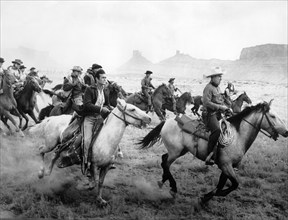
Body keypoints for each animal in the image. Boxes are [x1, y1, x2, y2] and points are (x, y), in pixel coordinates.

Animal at [138, 100, 286, 205]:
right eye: (272, 116)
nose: (286, 131)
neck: (237, 136)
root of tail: (166, 121)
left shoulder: (227, 167)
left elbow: (222, 185)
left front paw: (206, 198)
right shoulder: (226, 165)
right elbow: (234, 185)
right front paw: (205, 197)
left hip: (180, 151)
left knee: (164, 160)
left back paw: (162, 181)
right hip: (175, 151)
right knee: (166, 164)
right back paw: (173, 188)